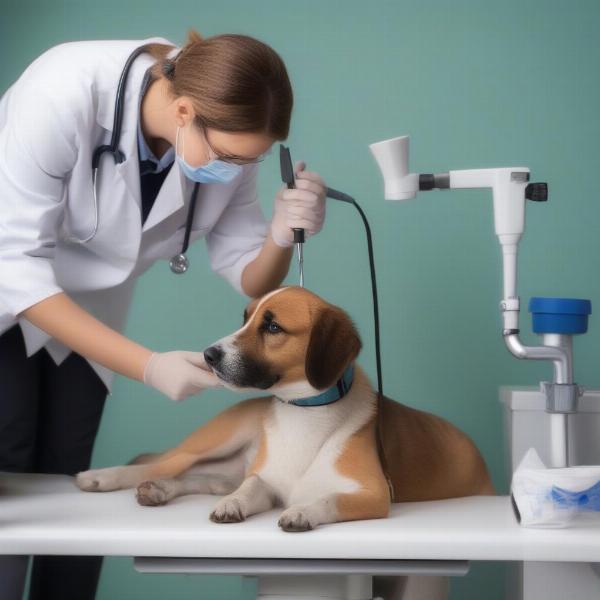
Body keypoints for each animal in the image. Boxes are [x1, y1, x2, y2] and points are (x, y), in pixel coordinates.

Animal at [75, 284, 492, 596]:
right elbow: (247, 490)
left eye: (273, 327)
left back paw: (159, 490)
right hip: (215, 441)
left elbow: (326, 498)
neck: (304, 413)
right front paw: (235, 505)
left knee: (196, 479)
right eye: (245, 319)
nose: (208, 355)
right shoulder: (264, 481)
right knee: (162, 463)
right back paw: (103, 477)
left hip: (222, 466)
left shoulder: (373, 494)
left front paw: (303, 511)